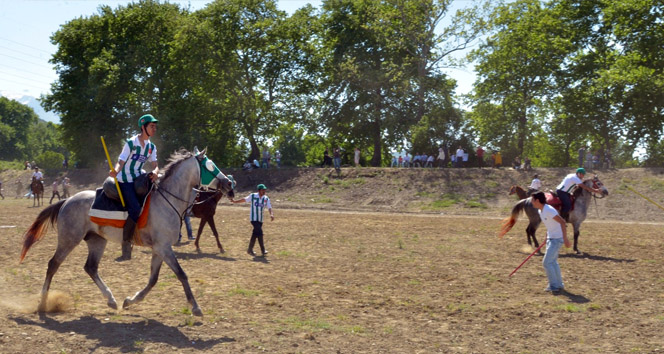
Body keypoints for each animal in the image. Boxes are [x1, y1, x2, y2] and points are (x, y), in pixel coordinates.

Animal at [19, 148, 236, 316]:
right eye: (210, 166)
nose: (229, 184)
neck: (168, 201)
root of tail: (67, 200)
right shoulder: (164, 248)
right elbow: (182, 274)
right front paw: (196, 307)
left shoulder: (159, 249)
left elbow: (153, 280)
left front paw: (131, 300)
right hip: (69, 239)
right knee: (53, 264)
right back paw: (42, 303)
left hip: (97, 241)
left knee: (90, 268)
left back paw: (111, 299)